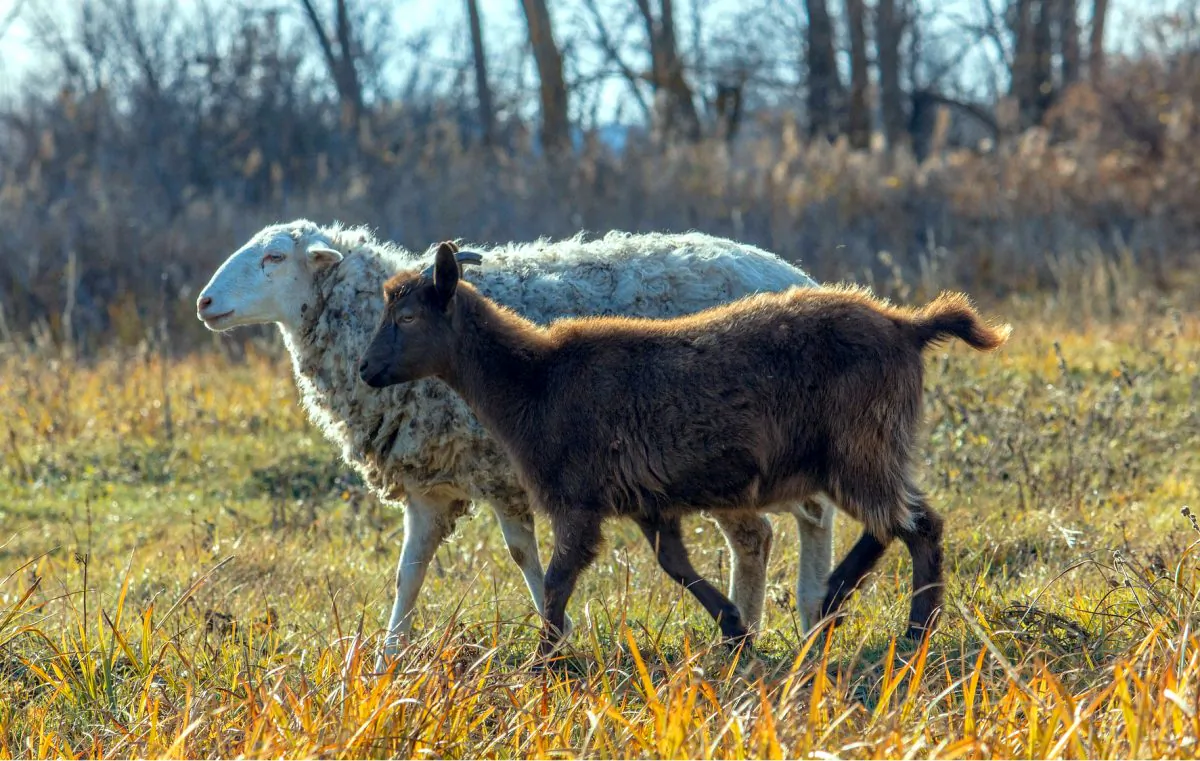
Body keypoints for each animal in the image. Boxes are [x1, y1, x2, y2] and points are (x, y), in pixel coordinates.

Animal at [195, 219, 836, 665]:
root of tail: (795, 276)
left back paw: (804, 616)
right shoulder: (440, 484)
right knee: (758, 538)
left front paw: (559, 640)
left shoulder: (503, 470)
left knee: (803, 519)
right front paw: (387, 661)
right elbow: (418, 572)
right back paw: (753, 632)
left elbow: (528, 559)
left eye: (274, 257)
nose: (204, 302)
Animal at [358, 241, 1010, 658]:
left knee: (918, 526)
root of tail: (907, 326)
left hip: (860, 447)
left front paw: (546, 659)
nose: (365, 371)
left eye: (408, 316)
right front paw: (735, 630)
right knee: (895, 523)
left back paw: (911, 630)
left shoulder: (578, 499)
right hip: (865, 452)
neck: (533, 379)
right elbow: (675, 565)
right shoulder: (650, 502)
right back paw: (836, 600)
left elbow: (559, 580)